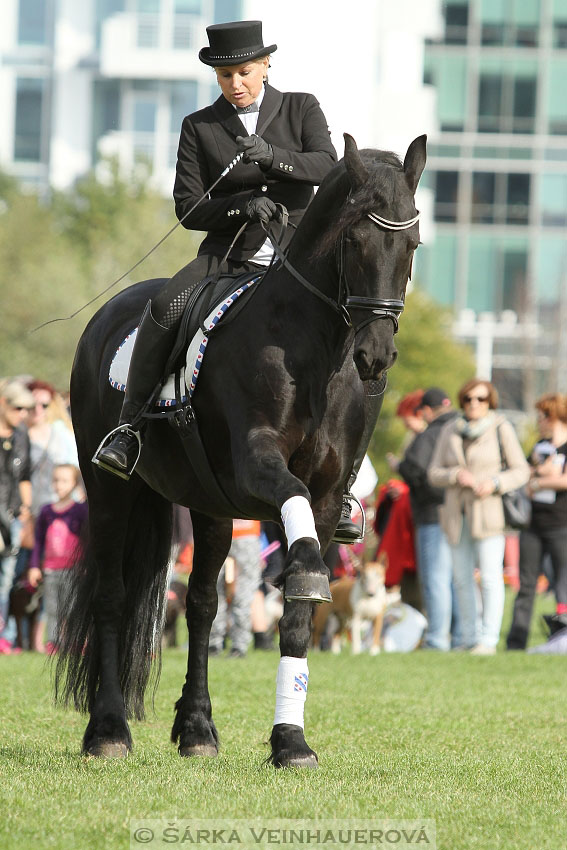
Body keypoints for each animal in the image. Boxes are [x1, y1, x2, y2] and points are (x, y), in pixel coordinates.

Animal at [55, 132, 426, 760]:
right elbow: (292, 511)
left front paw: (291, 741)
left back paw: (197, 729)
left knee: (203, 605)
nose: (375, 357)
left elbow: (297, 617)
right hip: (107, 488)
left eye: (413, 242)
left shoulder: (327, 495)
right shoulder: (256, 463)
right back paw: (108, 730)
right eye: (354, 239)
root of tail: (109, 314)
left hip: (208, 506)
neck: (316, 351)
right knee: (112, 594)